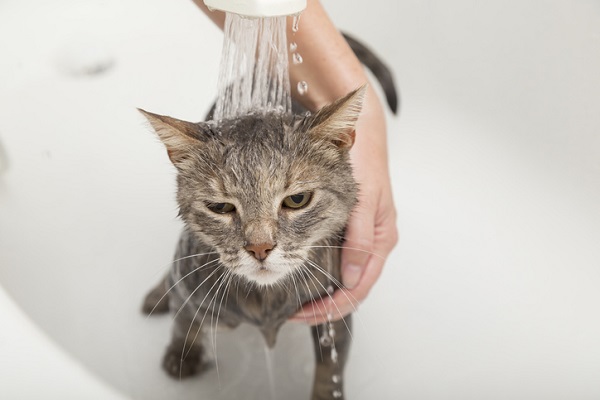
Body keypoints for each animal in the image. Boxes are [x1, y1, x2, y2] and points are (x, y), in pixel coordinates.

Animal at [140, 87, 366, 400]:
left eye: (297, 200)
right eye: (220, 207)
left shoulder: (333, 311)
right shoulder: (190, 290)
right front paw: (183, 355)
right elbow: (183, 323)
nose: (260, 248)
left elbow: (329, 368)